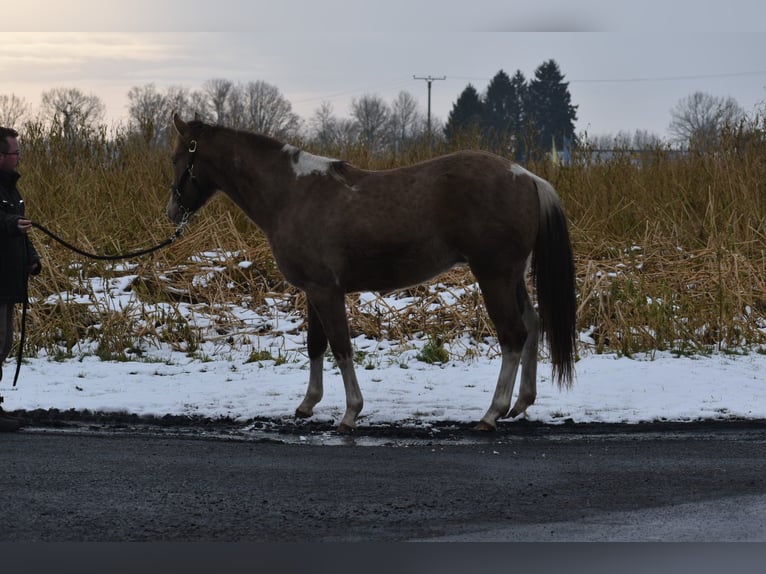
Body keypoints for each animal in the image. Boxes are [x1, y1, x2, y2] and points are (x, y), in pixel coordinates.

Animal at [167, 114, 577, 432]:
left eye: (176, 158)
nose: (172, 213)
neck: (293, 194)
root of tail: (526, 176)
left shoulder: (326, 291)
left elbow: (341, 347)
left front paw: (351, 413)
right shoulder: (313, 291)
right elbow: (316, 345)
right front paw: (308, 404)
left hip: (493, 276)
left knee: (513, 335)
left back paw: (492, 413)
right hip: (511, 277)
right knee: (532, 325)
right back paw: (521, 403)